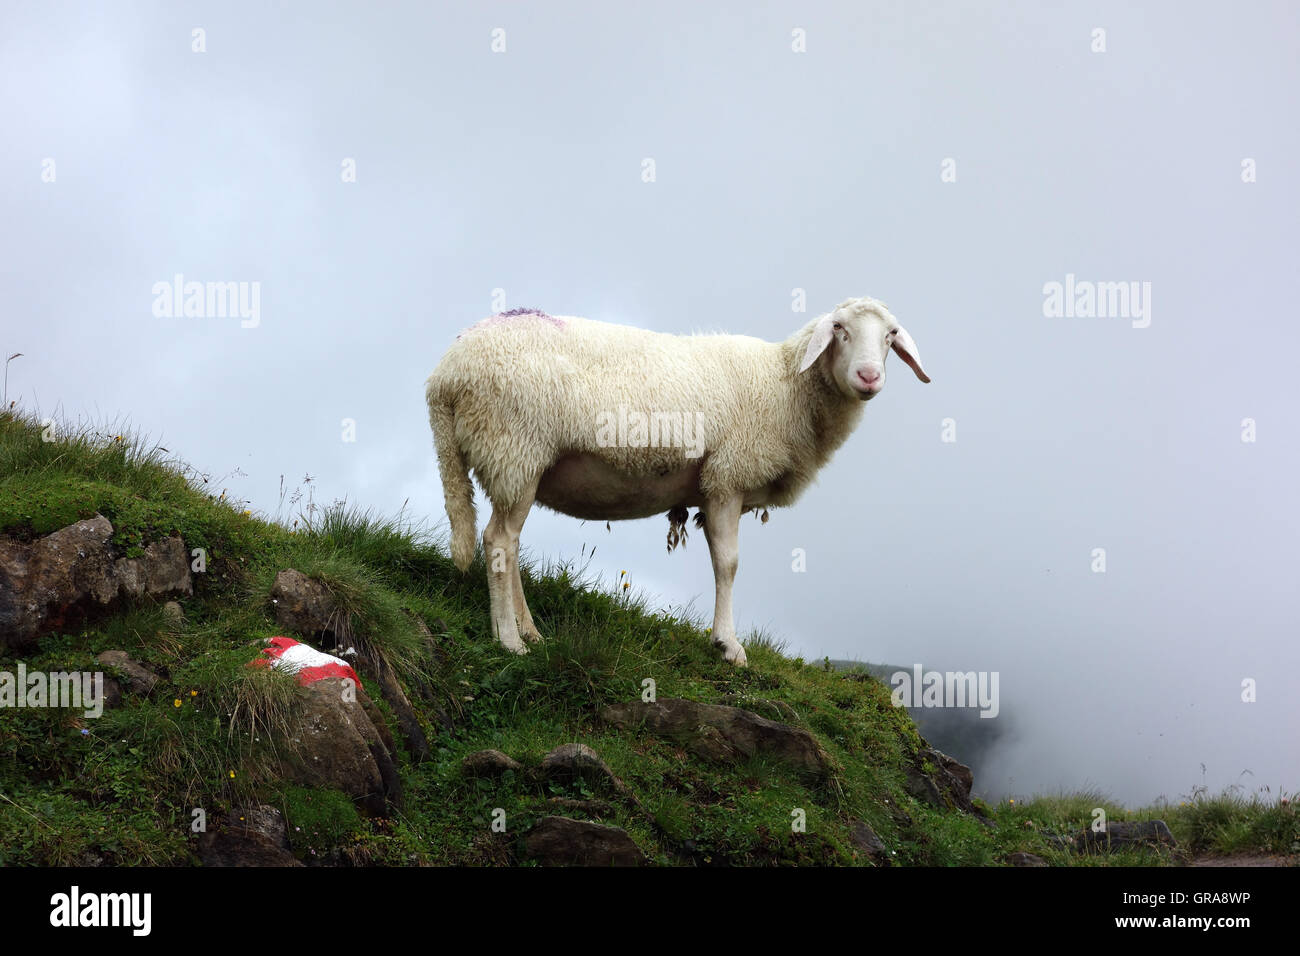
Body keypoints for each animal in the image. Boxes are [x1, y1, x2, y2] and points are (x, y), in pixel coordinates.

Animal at [425, 297, 930, 665]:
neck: (785, 385)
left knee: (508, 544)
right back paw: (509, 641)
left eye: (890, 335)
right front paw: (728, 645)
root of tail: (444, 375)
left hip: (515, 463)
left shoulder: (711, 487)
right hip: (514, 445)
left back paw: (529, 632)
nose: (869, 376)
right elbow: (728, 564)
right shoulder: (727, 477)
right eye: (840, 328)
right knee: (497, 542)